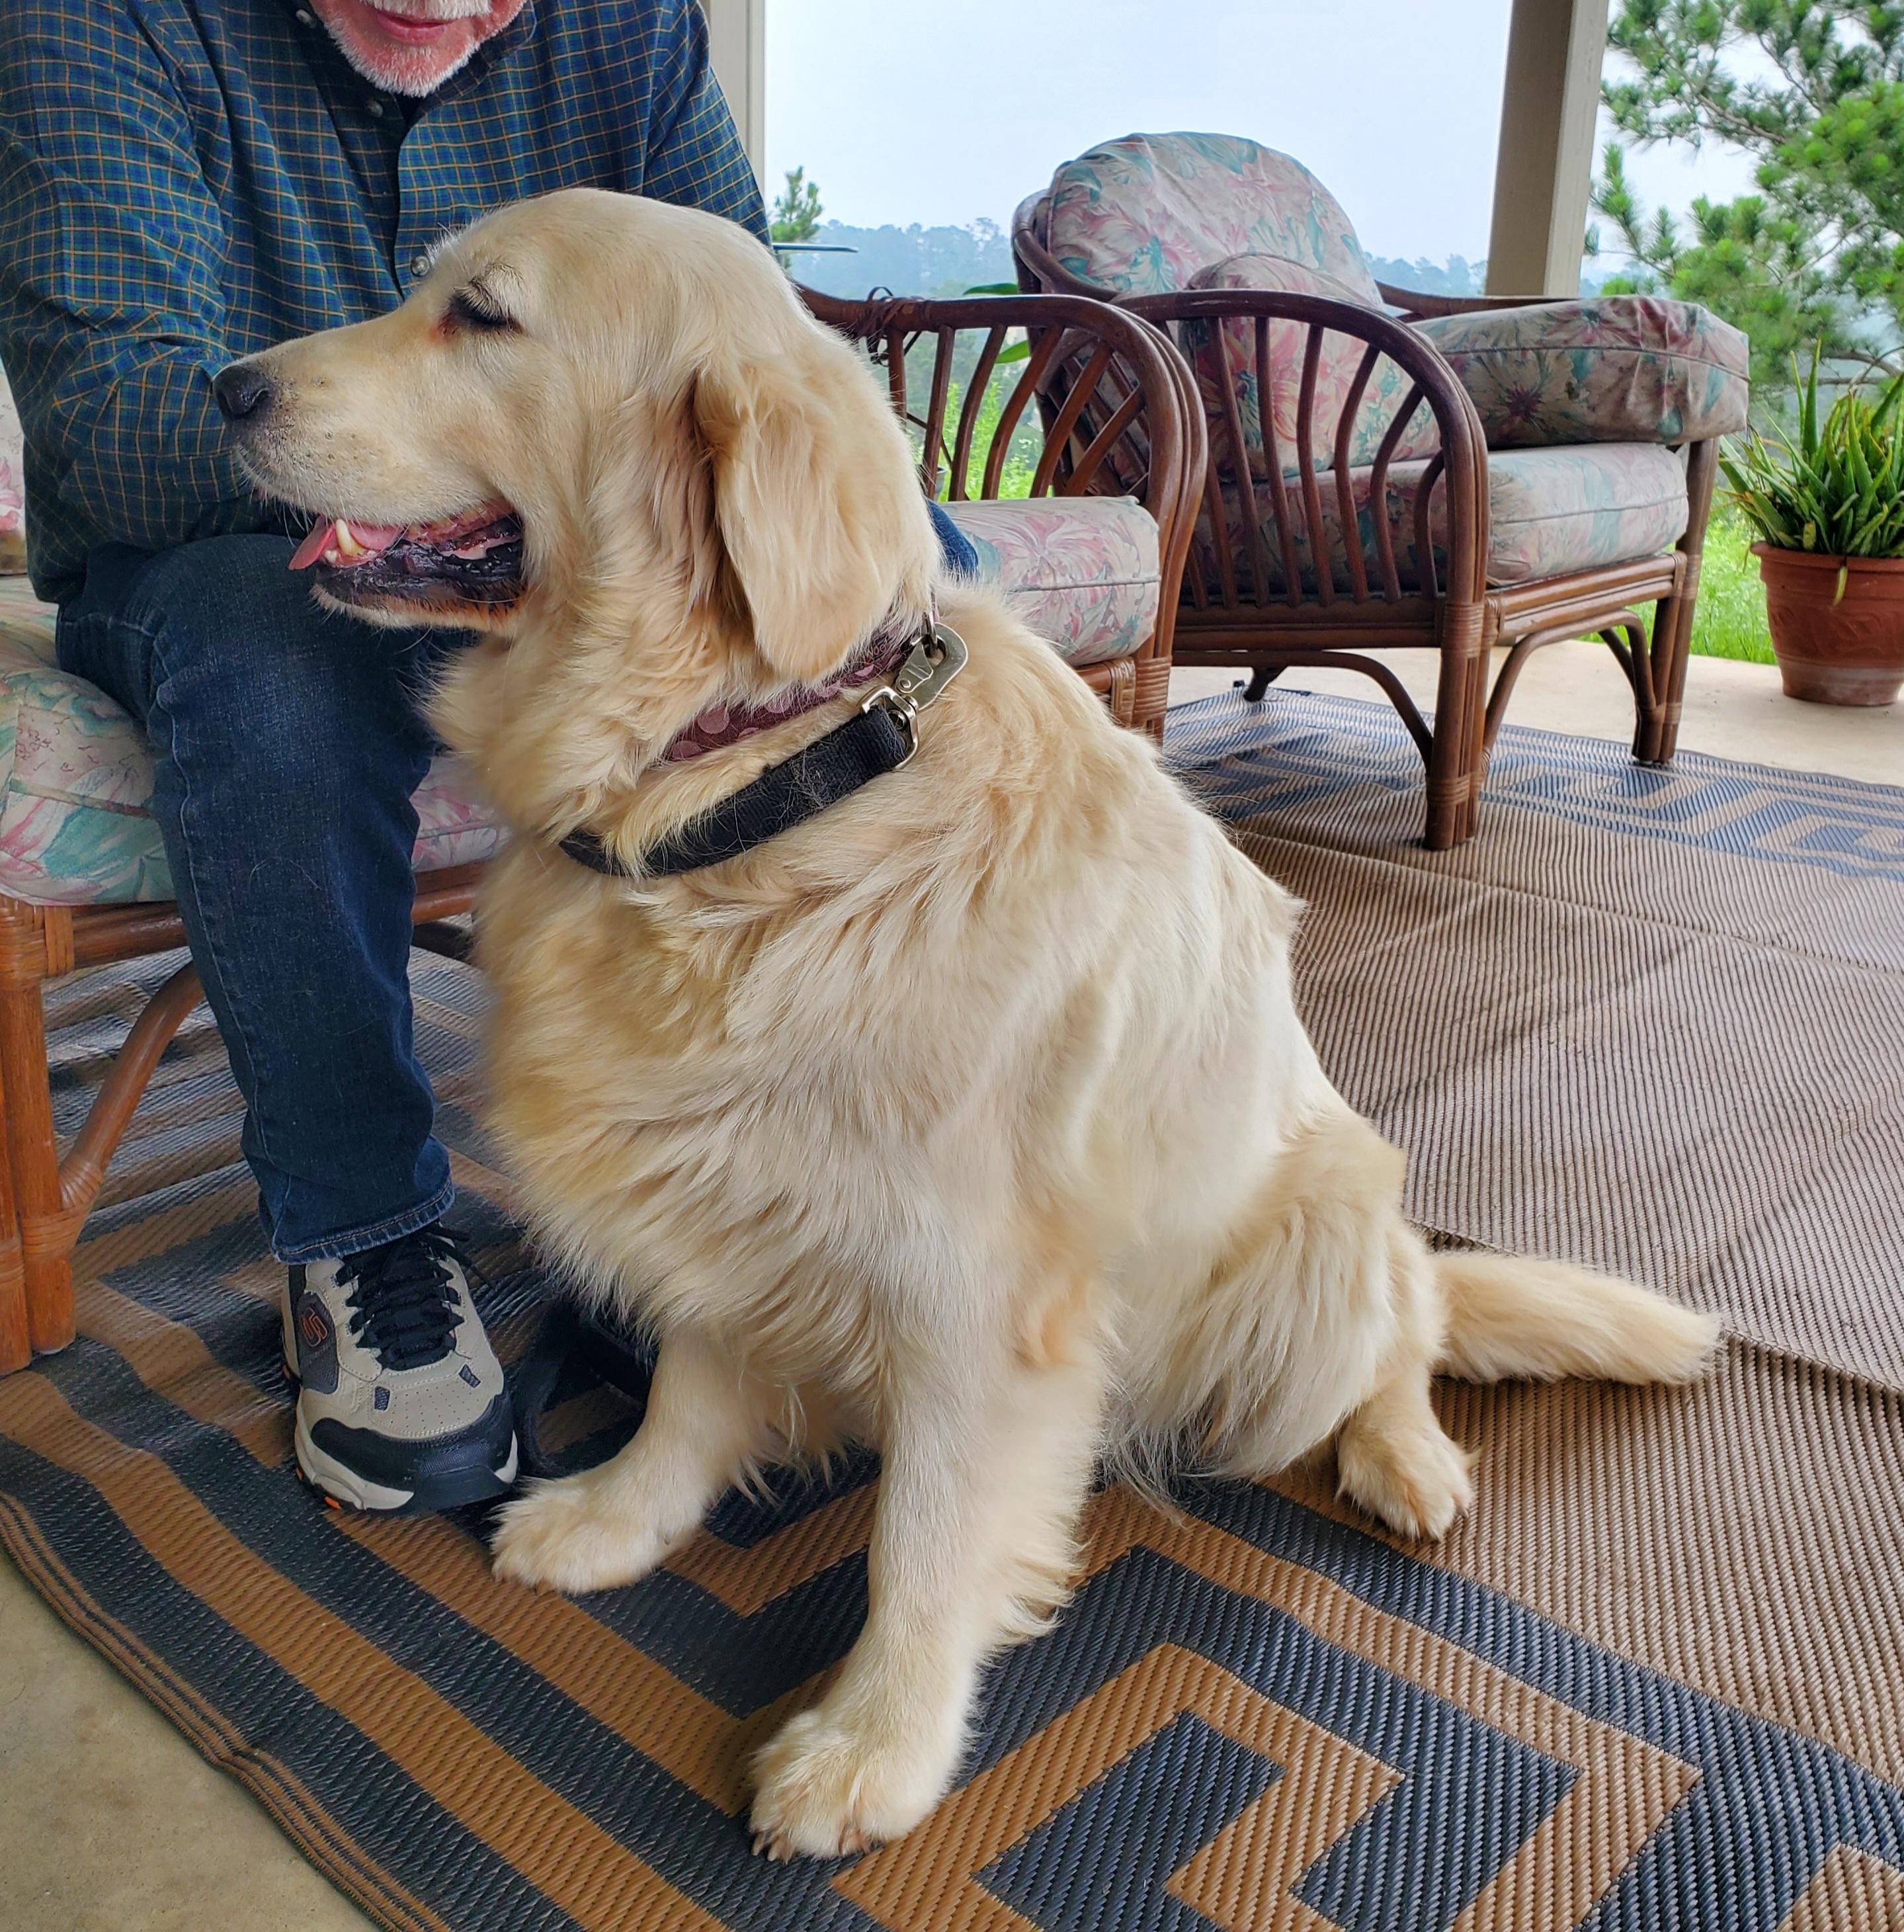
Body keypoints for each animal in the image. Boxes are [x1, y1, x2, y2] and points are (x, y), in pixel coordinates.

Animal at [223, 188, 1720, 1860]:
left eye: (480, 315)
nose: (224, 388)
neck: (759, 791)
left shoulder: (976, 1296)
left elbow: (924, 1541)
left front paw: (872, 1745)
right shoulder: (715, 1192)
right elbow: (687, 1386)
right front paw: (622, 1512)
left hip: (1315, 1238)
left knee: (1399, 1337)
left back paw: (1405, 1455)